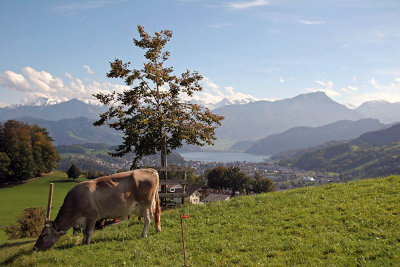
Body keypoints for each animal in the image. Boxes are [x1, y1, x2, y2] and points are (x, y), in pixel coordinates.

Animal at [33, 170, 161, 251]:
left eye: (44, 234)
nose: (34, 248)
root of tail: (150, 170)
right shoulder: (84, 219)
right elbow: (84, 232)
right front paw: (83, 242)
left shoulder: (92, 216)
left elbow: (88, 231)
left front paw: (86, 244)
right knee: (156, 214)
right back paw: (157, 230)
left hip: (145, 204)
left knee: (148, 219)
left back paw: (143, 235)